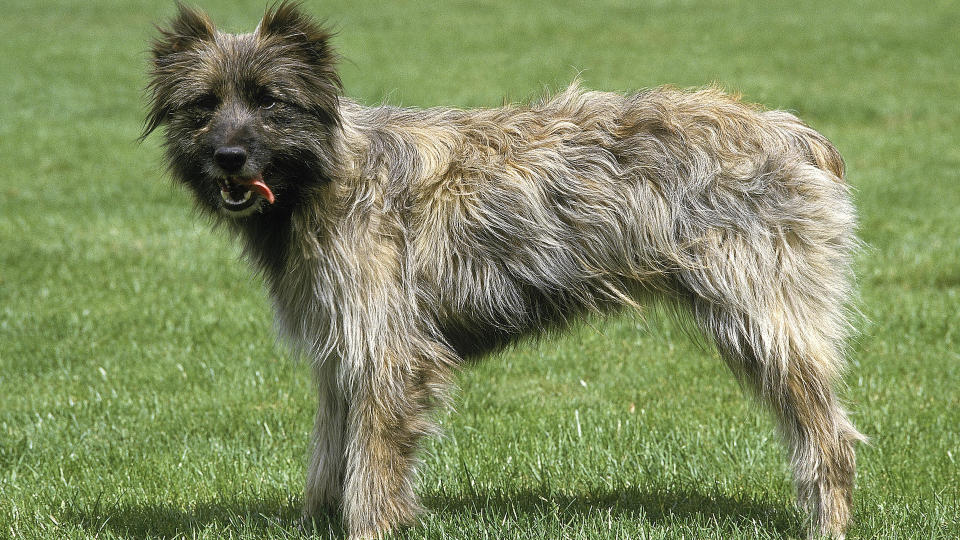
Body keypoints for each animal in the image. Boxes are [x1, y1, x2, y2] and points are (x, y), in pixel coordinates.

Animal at [141, 2, 864, 536]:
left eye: (269, 100)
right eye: (204, 105)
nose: (229, 157)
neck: (329, 175)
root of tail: (795, 134)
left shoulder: (388, 350)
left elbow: (372, 467)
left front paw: (370, 526)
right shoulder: (342, 350)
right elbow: (332, 452)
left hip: (766, 323)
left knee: (828, 437)